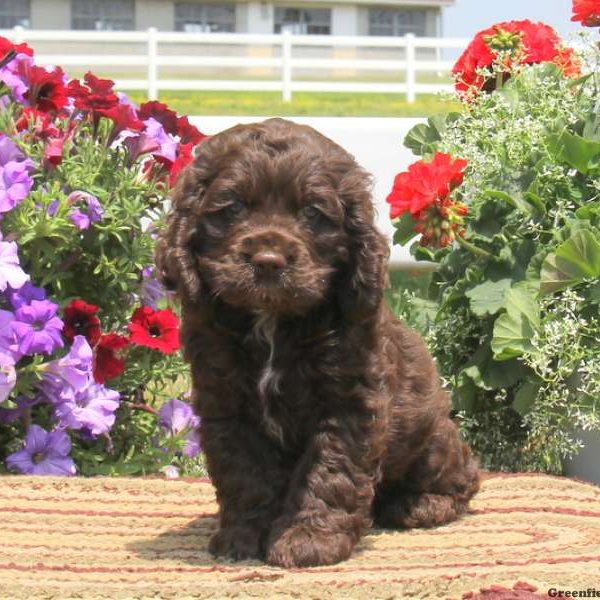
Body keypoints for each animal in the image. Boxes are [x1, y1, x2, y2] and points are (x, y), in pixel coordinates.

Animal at [154, 116, 478, 568]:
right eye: (233, 207)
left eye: (312, 212)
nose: (268, 261)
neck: (273, 321)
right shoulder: (226, 402)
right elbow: (245, 472)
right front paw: (242, 537)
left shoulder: (349, 401)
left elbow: (329, 471)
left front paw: (308, 540)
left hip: (430, 436)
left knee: (463, 474)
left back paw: (422, 504)